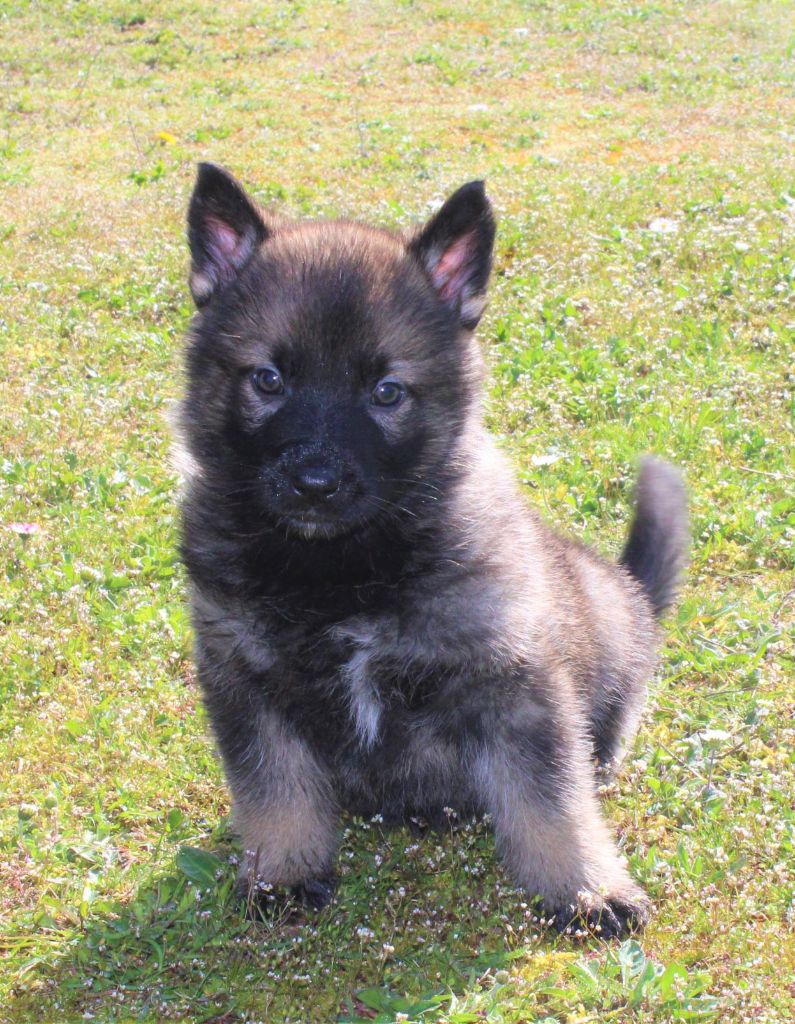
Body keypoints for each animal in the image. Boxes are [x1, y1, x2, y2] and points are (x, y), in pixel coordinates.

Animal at [176, 162, 688, 937]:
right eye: (268, 379)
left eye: (387, 392)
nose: (315, 483)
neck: (341, 571)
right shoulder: (245, 683)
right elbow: (274, 788)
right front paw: (282, 872)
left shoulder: (515, 686)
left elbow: (552, 803)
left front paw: (586, 888)